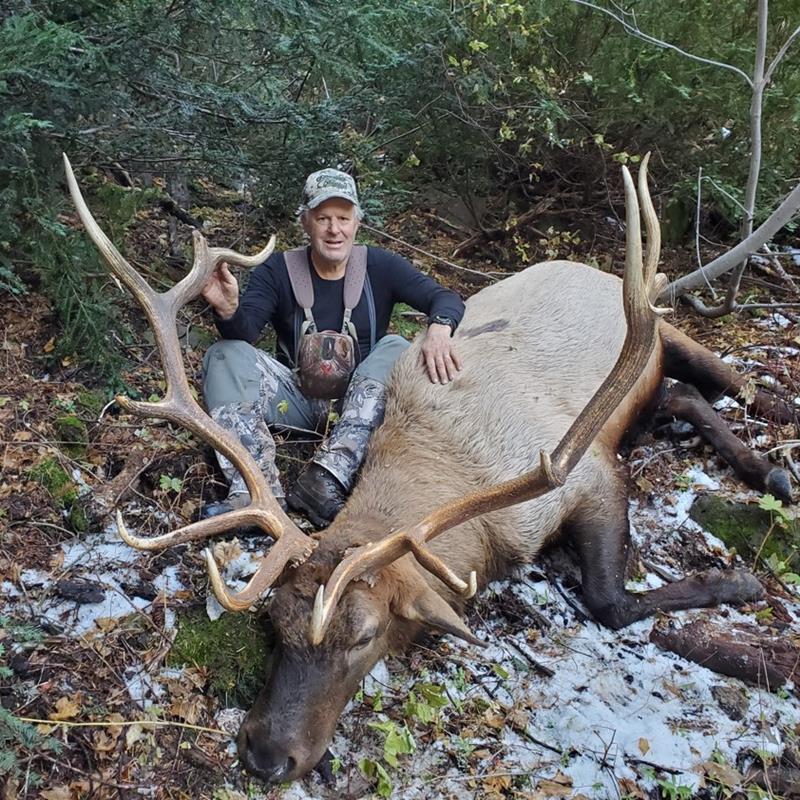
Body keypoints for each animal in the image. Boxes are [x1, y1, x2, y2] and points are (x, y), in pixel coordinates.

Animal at [62, 153, 794, 786]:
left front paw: (737, 585)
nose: (265, 756)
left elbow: (610, 602)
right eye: (275, 626)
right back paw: (770, 471)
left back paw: (775, 450)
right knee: (682, 395)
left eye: (365, 636)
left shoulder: (586, 473)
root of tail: (596, 270)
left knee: (725, 378)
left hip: (663, 330)